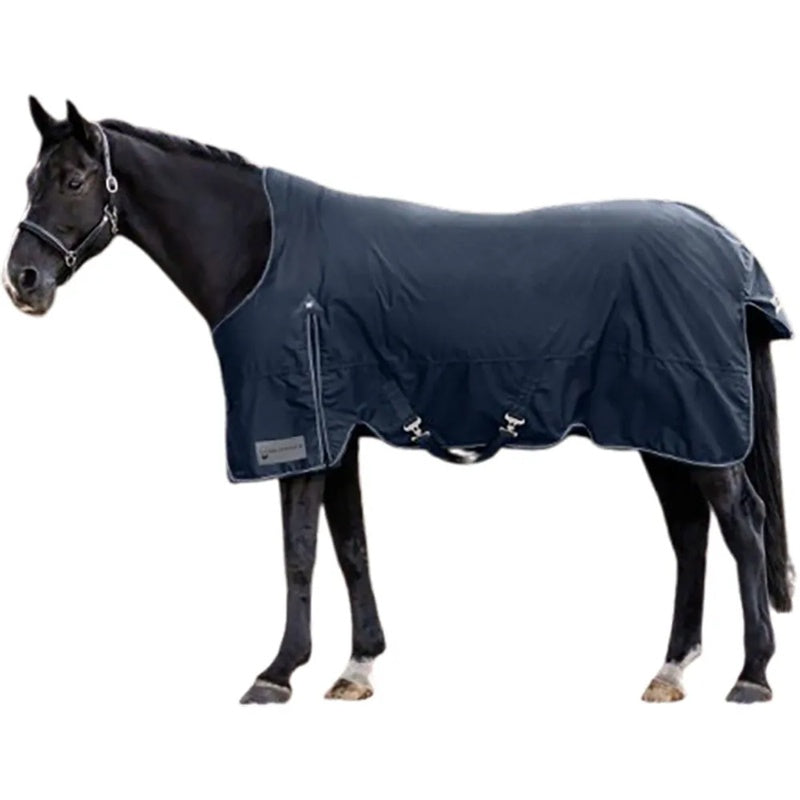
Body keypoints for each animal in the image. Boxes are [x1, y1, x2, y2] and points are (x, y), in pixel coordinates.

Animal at [3, 97, 793, 704]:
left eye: (74, 179)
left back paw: (752, 674)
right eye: (31, 178)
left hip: (698, 429)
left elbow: (298, 552)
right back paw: (671, 669)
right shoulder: (339, 434)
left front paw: (278, 673)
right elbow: (349, 544)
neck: (264, 256)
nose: (24, 280)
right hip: (666, 429)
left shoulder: (296, 436)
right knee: (690, 532)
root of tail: (724, 244)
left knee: (743, 524)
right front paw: (357, 666)